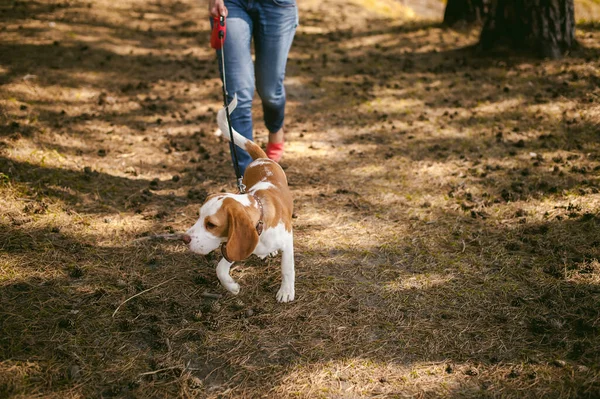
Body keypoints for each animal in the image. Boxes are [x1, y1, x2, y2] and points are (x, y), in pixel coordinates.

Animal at [183, 96, 296, 304]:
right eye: (198, 216)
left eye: (211, 224)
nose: (184, 239)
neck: (260, 220)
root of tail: (261, 160)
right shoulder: (235, 245)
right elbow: (220, 269)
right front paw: (231, 286)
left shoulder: (287, 241)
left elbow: (287, 268)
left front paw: (286, 291)